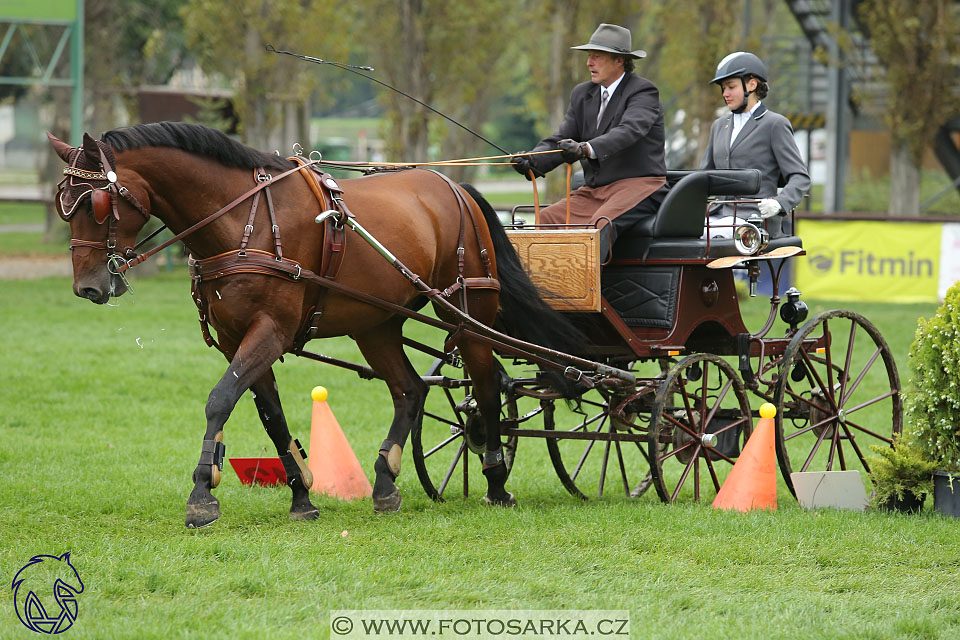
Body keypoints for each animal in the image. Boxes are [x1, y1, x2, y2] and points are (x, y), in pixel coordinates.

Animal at [47, 122, 576, 528]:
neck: (242, 221)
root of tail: (455, 188)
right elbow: (271, 414)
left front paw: (202, 494)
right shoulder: (237, 338)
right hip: (376, 323)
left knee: (486, 386)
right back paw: (385, 482)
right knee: (410, 389)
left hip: (467, 314)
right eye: (62, 204)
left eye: (94, 204)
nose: (87, 287)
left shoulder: (270, 331)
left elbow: (220, 399)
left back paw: (495, 479)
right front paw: (301, 495)